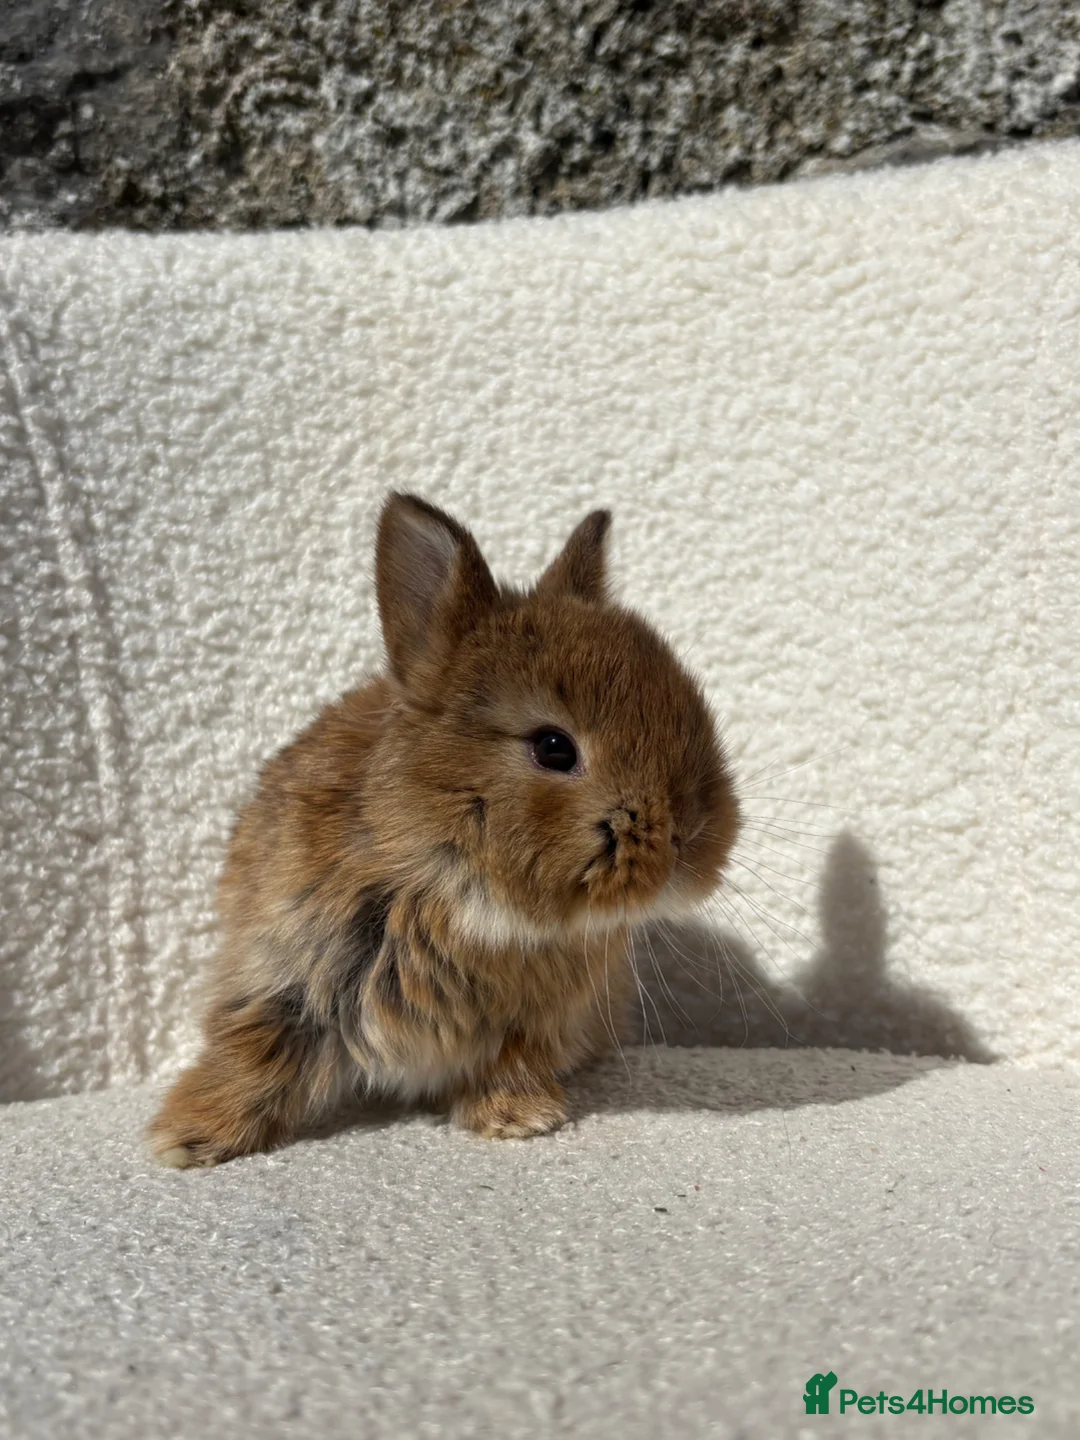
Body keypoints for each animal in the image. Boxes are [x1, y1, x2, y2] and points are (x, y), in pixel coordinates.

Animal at [149, 493, 740, 1167]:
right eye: (554, 748)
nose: (694, 839)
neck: (457, 890)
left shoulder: (535, 1025)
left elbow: (510, 1063)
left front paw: (518, 1118)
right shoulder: (281, 975)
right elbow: (253, 1053)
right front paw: (187, 1139)